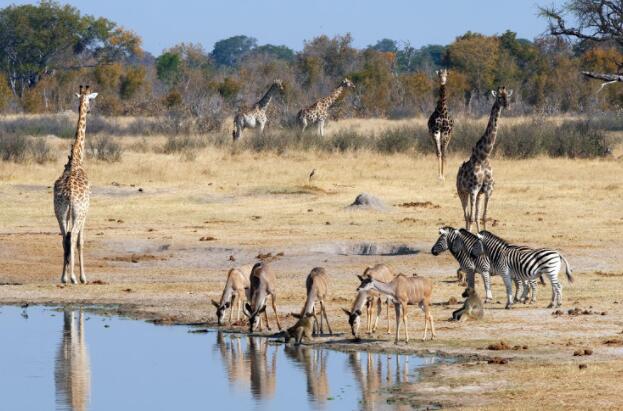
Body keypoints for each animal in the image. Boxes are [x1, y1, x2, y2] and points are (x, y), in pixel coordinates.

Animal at [456, 86, 516, 232]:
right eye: (499, 97)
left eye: (508, 96)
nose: (508, 105)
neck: (482, 157)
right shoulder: (473, 189)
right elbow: (471, 217)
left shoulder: (487, 189)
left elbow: (483, 216)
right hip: (462, 191)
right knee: (466, 215)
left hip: (477, 194)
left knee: (474, 215)